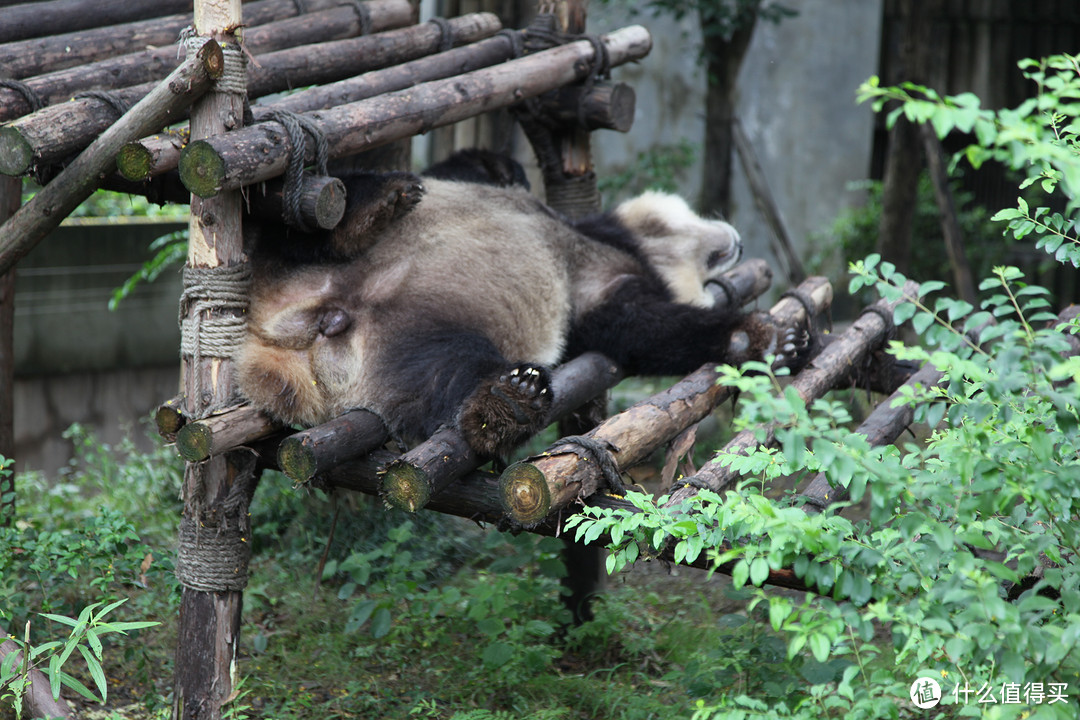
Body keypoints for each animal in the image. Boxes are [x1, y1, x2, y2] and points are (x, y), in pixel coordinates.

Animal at [238, 151, 812, 455]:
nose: (736, 242)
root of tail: (287, 327)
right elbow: (482, 165)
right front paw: (773, 334)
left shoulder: (596, 291)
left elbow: (643, 329)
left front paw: (762, 337)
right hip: (288, 243)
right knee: (313, 212)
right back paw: (376, 207)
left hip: (394, 347)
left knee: (443, 371)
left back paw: (504, 403)